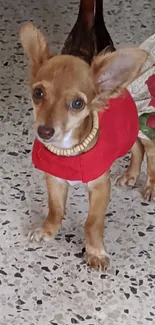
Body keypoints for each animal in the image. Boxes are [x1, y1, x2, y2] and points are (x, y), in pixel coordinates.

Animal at [20, 1, 148, 270]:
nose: (45, 131)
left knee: (146, 147)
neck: (68, 150)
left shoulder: (100, 187)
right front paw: (48, 231)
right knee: (137, 147)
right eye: (38, 93)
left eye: (77, 103)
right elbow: (55, 209)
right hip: (126, 136)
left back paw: (146, 183)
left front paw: (95, 252)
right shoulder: (54, 179)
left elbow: (93, 223)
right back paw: (131, 175)